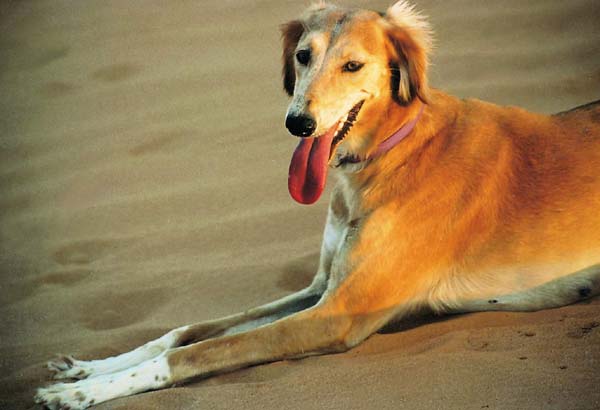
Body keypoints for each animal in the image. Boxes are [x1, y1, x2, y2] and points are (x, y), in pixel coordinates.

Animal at [35, 1, 600, 408]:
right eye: (303, 55)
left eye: (353, 65)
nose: (298, 124)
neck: (392, 155)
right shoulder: (320, 289)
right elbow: (185, 332)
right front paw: (91, 369)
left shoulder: (337, 315)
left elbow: (202, 350)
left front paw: (83, 393)